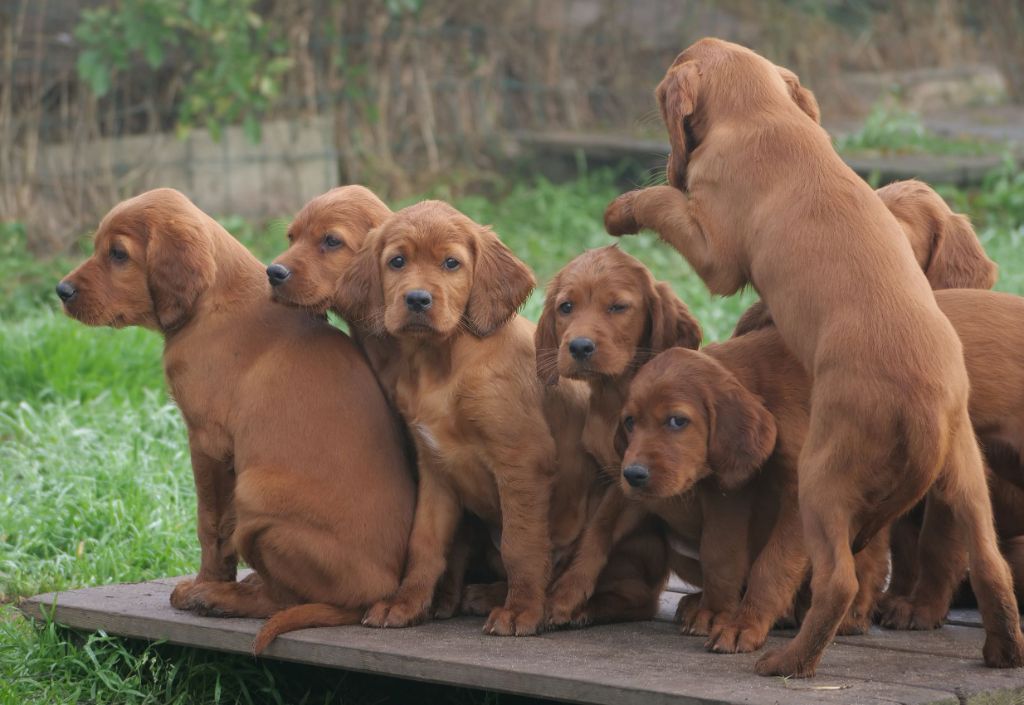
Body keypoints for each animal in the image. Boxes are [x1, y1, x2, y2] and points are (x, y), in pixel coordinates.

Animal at [55, 188, 415, 655]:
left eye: (118, 254)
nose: (61, 290)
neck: (213, 303)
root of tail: (377, 592)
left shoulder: (206, 441)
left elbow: (210, 524)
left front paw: (204, 582)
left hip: (256, 496)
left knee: (281, 599)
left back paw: (220, 598)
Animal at [602, 35, 1019, 676]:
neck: (765, 116)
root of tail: (925, 399)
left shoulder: (716, 254)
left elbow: (665, 201)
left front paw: (623, 207)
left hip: (820, 480)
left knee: (839, 580)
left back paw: (785, 661)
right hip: (967, 476)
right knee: (991, 562)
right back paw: (1003, 652)